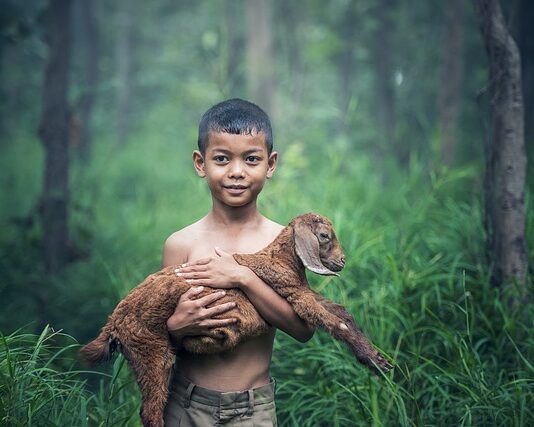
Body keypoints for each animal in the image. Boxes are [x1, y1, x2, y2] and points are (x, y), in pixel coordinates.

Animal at [82, 214, 394, 427]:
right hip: (150, 351)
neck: (281, 260)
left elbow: (343, 313)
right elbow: (336, 323)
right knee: (151, 410)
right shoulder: (295, 296)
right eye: (325, 235)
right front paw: (373, 360)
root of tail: (113, 324)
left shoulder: (303, 292)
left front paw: (378, 359)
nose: (342, 261)